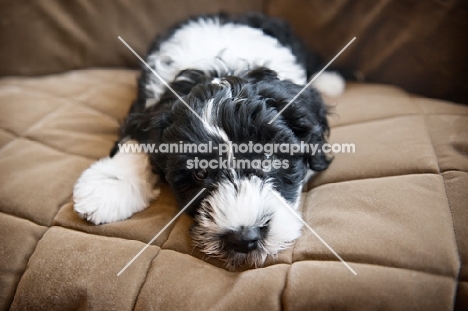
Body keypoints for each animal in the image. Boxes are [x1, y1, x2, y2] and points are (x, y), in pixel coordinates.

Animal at [73, 12, 344, 268]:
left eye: (268, 157)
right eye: (199, 173)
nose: (245, 239)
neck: (222, 68)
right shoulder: (147, 109)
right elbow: (138, 138)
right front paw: (108, 186)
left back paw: (330, 80)